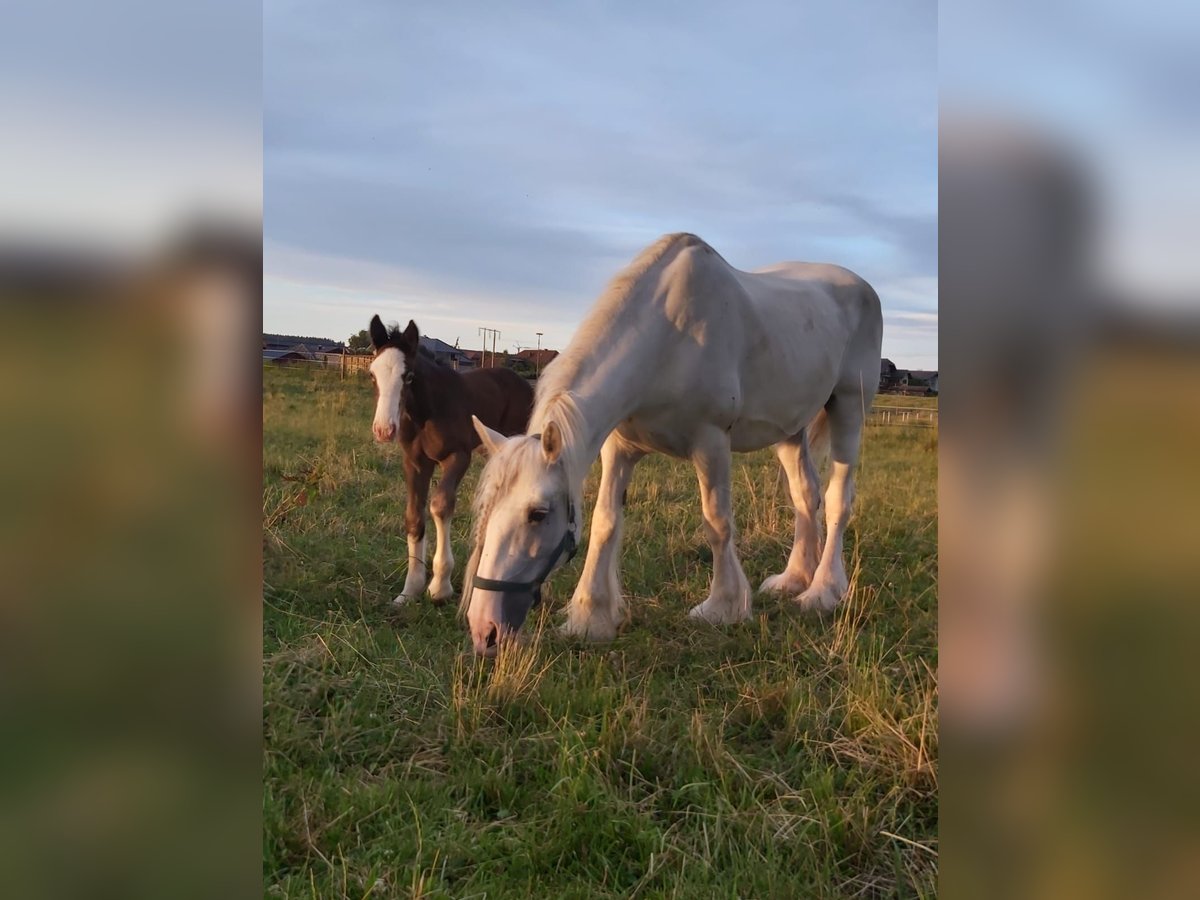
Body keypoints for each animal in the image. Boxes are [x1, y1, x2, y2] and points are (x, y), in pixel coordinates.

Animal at [367, 316, 533, 605]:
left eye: (408, 376)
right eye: (372, 374)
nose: (384, 430)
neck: (428, 411)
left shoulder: (457, 456)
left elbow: (440, 505)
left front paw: (439, 587)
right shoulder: (415, 462)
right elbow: (414, 515)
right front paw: (410, 589)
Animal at [462, 233, 882, 656]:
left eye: (538, 514)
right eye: (486, 509)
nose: (485, 630)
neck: (668, 337)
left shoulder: (711, 443)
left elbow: (717, 522)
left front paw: (723, 606)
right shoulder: (619, 450)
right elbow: (605, 523)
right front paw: (591, 616)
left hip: (849, 409)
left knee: (837, 499)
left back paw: (822, 591)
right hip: (790, 430)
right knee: (805, 494)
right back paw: (794, 579)